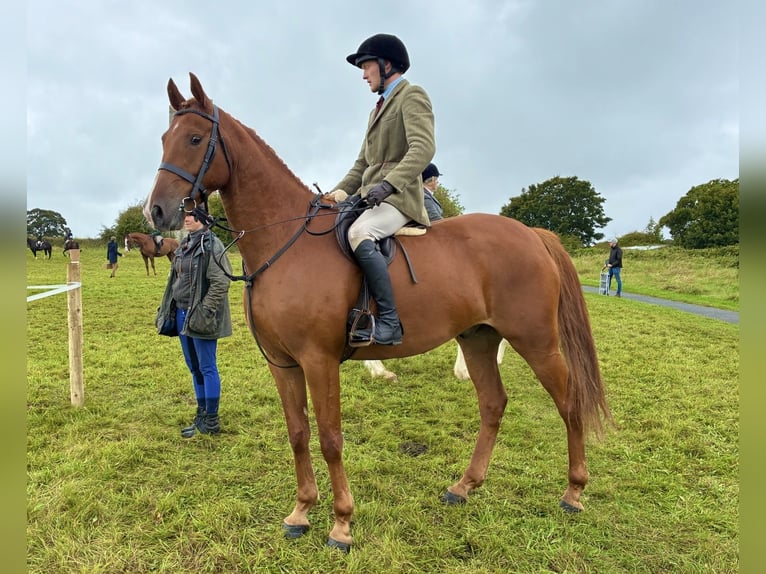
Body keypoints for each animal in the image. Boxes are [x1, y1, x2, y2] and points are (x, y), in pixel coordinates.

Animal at [143, 73, 611, 552]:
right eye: (164, 138)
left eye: (195, 139)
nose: (156, 211)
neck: (285, 244)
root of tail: (532, 234)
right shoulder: (283, 363)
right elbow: (298, 433)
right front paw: (301, 511)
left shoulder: (318, 361)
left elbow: (330, 438)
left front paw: (341, 524)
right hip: (479, 337)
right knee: (493, 403)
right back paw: (464, 486)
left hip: (536, 340)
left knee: (568, 402)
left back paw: (574, 492)